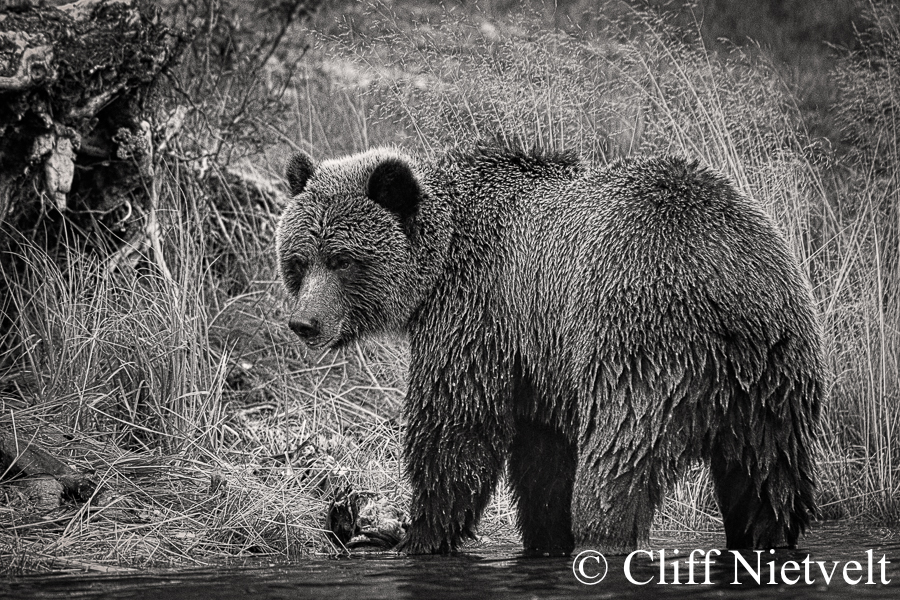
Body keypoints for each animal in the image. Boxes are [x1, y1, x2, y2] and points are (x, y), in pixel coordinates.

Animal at [275, 144, 826, 556]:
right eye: (299, 259)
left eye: (342, 259)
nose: (305, 322)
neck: (441, 264)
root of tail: (728, 284)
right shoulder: (539, 357)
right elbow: (542, 458)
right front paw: (543, 538)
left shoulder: (479, 313)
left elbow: (456, 428)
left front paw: (418, 532)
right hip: (774, 380)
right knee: (768, 483)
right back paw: (768, 539)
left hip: (639, 346)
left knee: (617, 469)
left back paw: (605, 538)